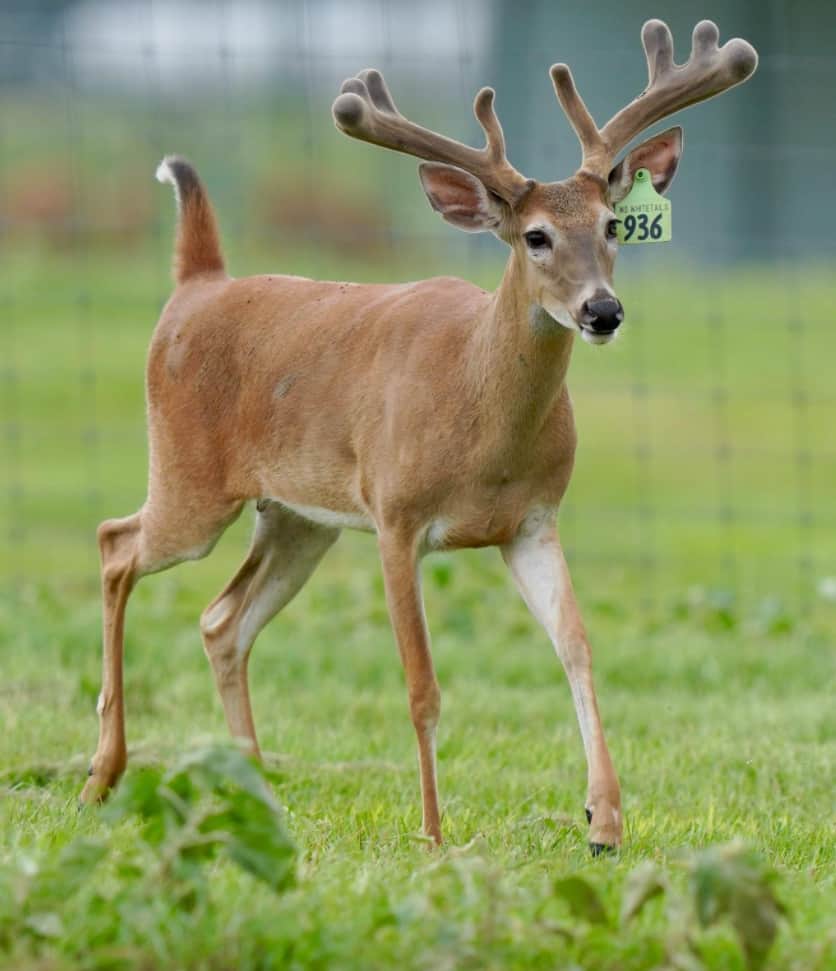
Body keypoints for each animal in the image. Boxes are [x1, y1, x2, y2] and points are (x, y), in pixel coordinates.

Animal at [80, 19, 757, 853]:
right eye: (535, 236)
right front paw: (434, 836)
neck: (479, 419)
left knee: (222, 620)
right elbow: (421, 685)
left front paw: (604, 821)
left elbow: (577, 647)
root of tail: (195, 287)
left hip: (298, 517)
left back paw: (256, 793)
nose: (602, 311)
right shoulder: (396, 516)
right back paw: (103, 772)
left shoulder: (532, 521)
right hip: (190, 479)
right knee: (116, 544)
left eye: (611, 226)